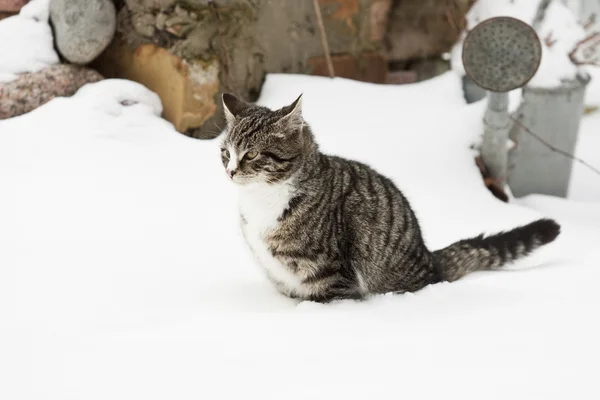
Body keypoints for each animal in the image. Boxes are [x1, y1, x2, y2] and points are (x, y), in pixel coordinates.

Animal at [220, 92, 564, 302]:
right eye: (225, 152)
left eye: (252, 154)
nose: (231, 171)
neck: (262, 199)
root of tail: (429, 257)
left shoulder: (332, 276)